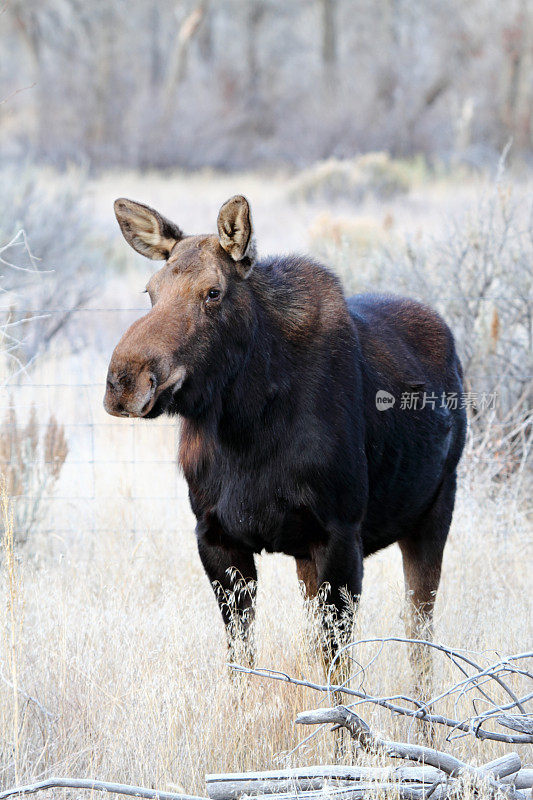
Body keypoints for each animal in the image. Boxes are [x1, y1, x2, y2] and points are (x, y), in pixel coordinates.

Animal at [104, 194, 466, 676]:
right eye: (150, 291)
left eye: (213, 292)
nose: (125, 382)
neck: (246, 428)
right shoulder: (216, 535)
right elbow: (243, 658)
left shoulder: (339, 533)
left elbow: (336, 666)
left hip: (435, 510)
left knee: (420, 635)